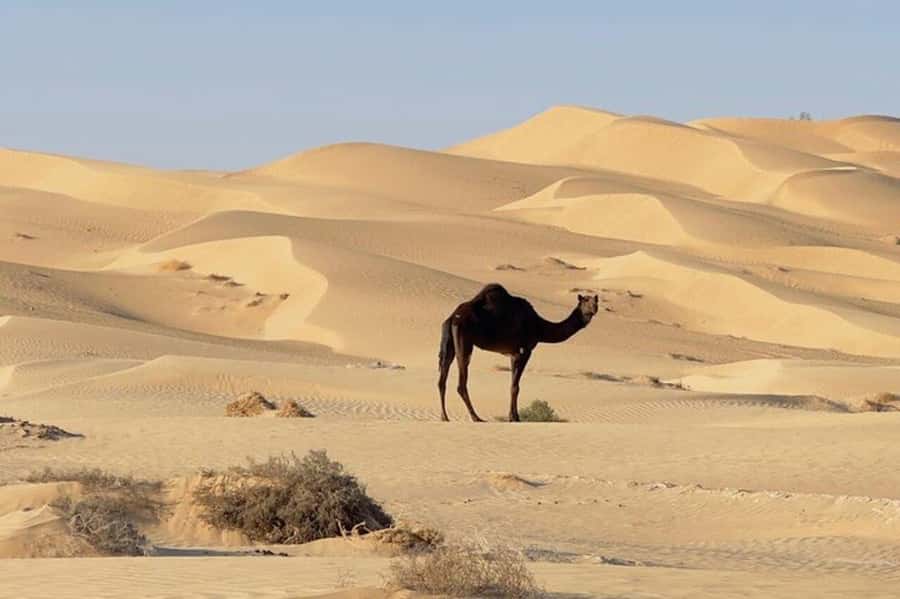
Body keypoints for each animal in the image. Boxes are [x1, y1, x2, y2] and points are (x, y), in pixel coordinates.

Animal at [438, 284, 599, 422]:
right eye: (585, 301)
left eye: (596, 301)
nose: (594, 308)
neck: (539, 325)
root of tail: (453, 317)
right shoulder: (524, 351)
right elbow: (516, 387)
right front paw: (515, 418)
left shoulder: (512, 354)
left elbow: (512, 385)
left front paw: (513, 416)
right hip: (464, 341)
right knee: (461, 382)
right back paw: (476, 418)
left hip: (449, 342)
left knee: (442, 379)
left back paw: (445, 417)